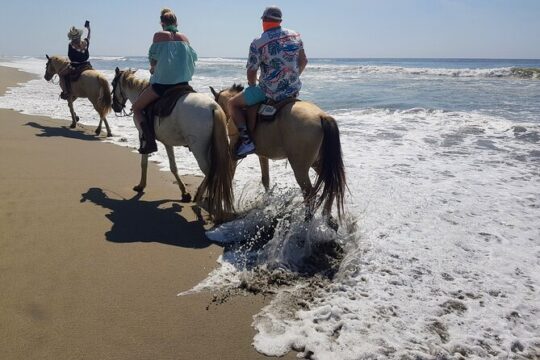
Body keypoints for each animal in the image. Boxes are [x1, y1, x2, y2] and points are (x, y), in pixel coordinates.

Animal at [110, 66, 233, 221]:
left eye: (112, 84)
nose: (114, 106)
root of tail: (213, 107)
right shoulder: (167, 141)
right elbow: (173, 167)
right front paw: (184, 193)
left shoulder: (142, 135)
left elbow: (144, 162)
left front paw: (141, 185)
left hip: (199, 150)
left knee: (211, 172)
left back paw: (201, 202)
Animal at [211, 84, 346, 225]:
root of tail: (321, 116)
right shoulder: (262, 156)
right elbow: (265, 179)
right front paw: (267, 202)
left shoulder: (233, 154)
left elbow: (229, 175)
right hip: (319, 162)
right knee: (332, 184)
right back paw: (327, 217)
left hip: (300, 167)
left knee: (310, 192)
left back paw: (307, 221)